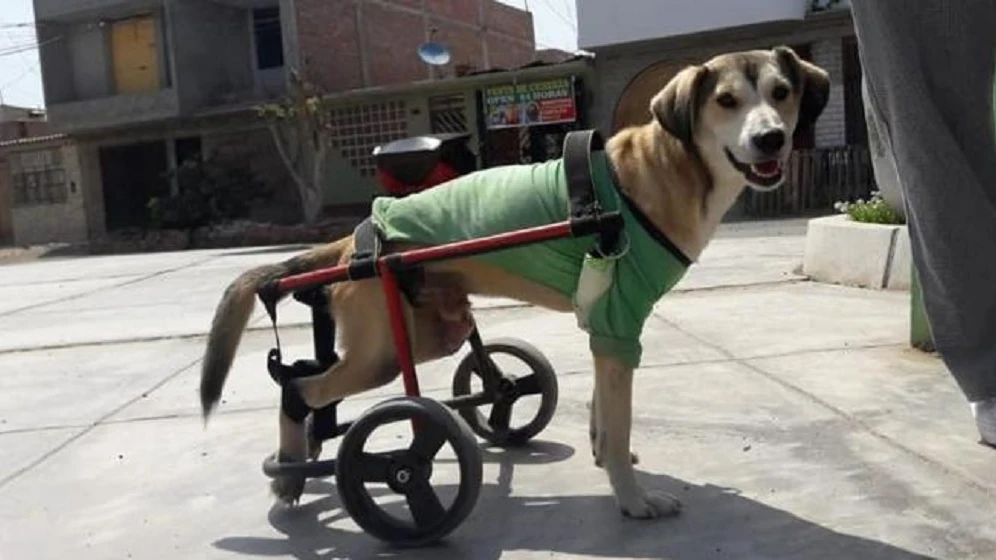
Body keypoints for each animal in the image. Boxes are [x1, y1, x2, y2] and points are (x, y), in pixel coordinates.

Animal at [198, 46, 828, 520]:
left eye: (781, 93)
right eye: (726, 102)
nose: (771, 138)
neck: (672, 167)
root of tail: (354, 242)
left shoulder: (609, 331)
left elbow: (606, 415)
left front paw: (606, 457)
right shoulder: (618, 324)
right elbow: (619, 423)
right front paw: (631, 498)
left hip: (432, 332)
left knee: (312, 375)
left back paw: (307, 458)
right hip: (382, 352)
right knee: (300, 390)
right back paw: (292, 471)